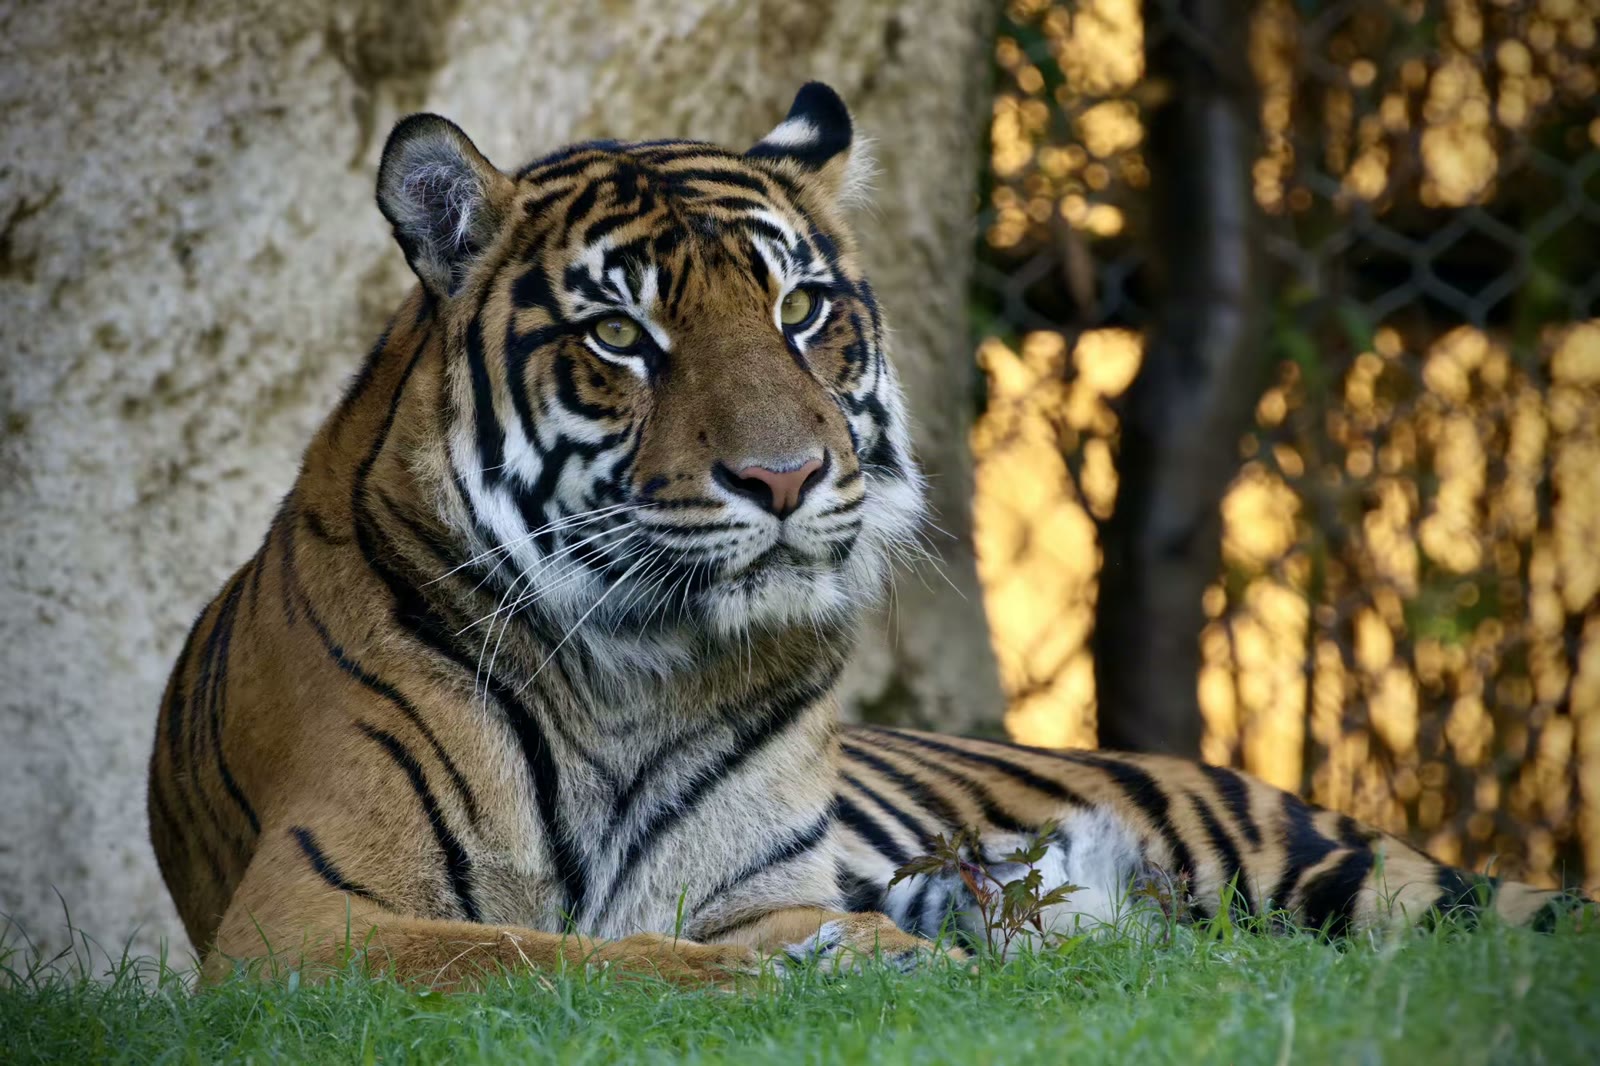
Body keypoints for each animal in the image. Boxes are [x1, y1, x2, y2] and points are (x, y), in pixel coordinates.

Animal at [148, 82, 1588, 989]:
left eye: (799, 309)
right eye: (620, 333)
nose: (784, 478)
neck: (639, 672)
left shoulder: (754, 881)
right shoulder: (310, 916)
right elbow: (561, 956)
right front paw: (865, 958)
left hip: (1352, 877)